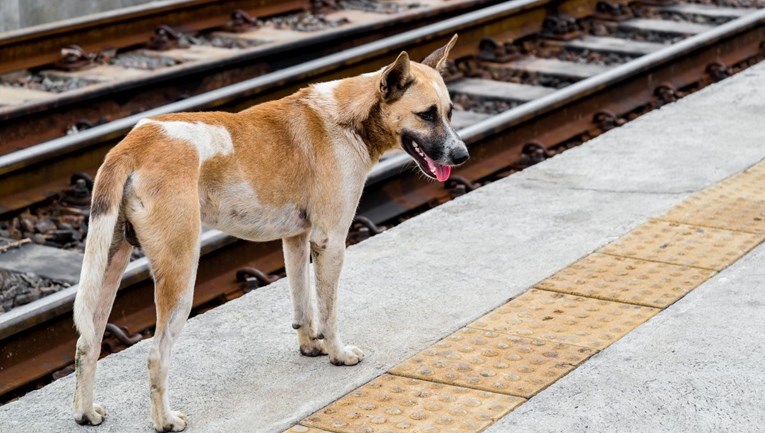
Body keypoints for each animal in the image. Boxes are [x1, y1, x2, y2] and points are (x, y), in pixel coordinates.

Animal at [71, 33, 466, 428]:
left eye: (449, 112)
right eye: (426, 114)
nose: (462, 155)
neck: (347, 118)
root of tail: (132, 145)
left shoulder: (297, 239)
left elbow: (303, 304)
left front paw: (311, 346)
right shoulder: (331, 242)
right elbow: (329, 312)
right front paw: (337, 353)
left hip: (109, 268)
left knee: (87, 344)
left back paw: (85, 412)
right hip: (179, 275)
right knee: (156, 356)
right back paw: (165, 420)